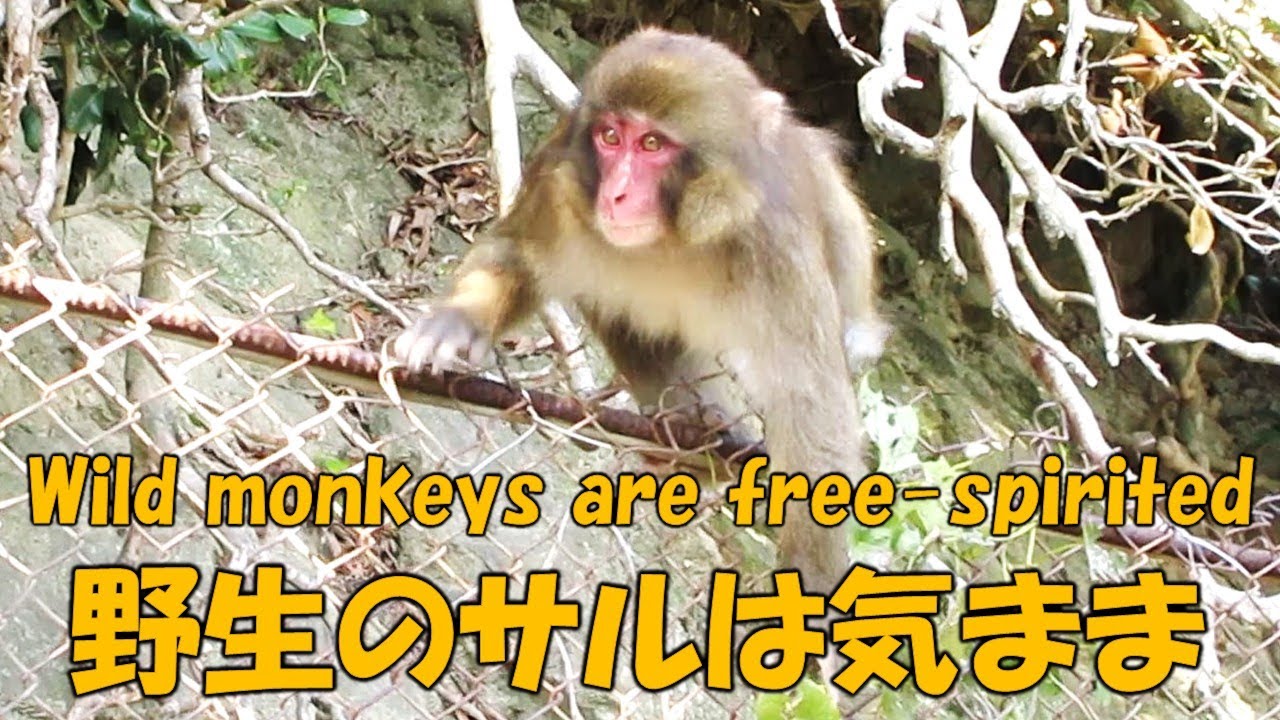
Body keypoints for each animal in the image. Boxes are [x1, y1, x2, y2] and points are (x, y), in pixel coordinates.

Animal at [395, 28, 883, 607]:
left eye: (652, 145)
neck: (675, 236)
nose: (617, 193)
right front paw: (457, 321)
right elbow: (519, 259)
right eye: (610, 136)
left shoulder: (776, 244)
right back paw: (699, 433)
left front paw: (815, 577)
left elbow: (808, 400)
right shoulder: (561, 180)